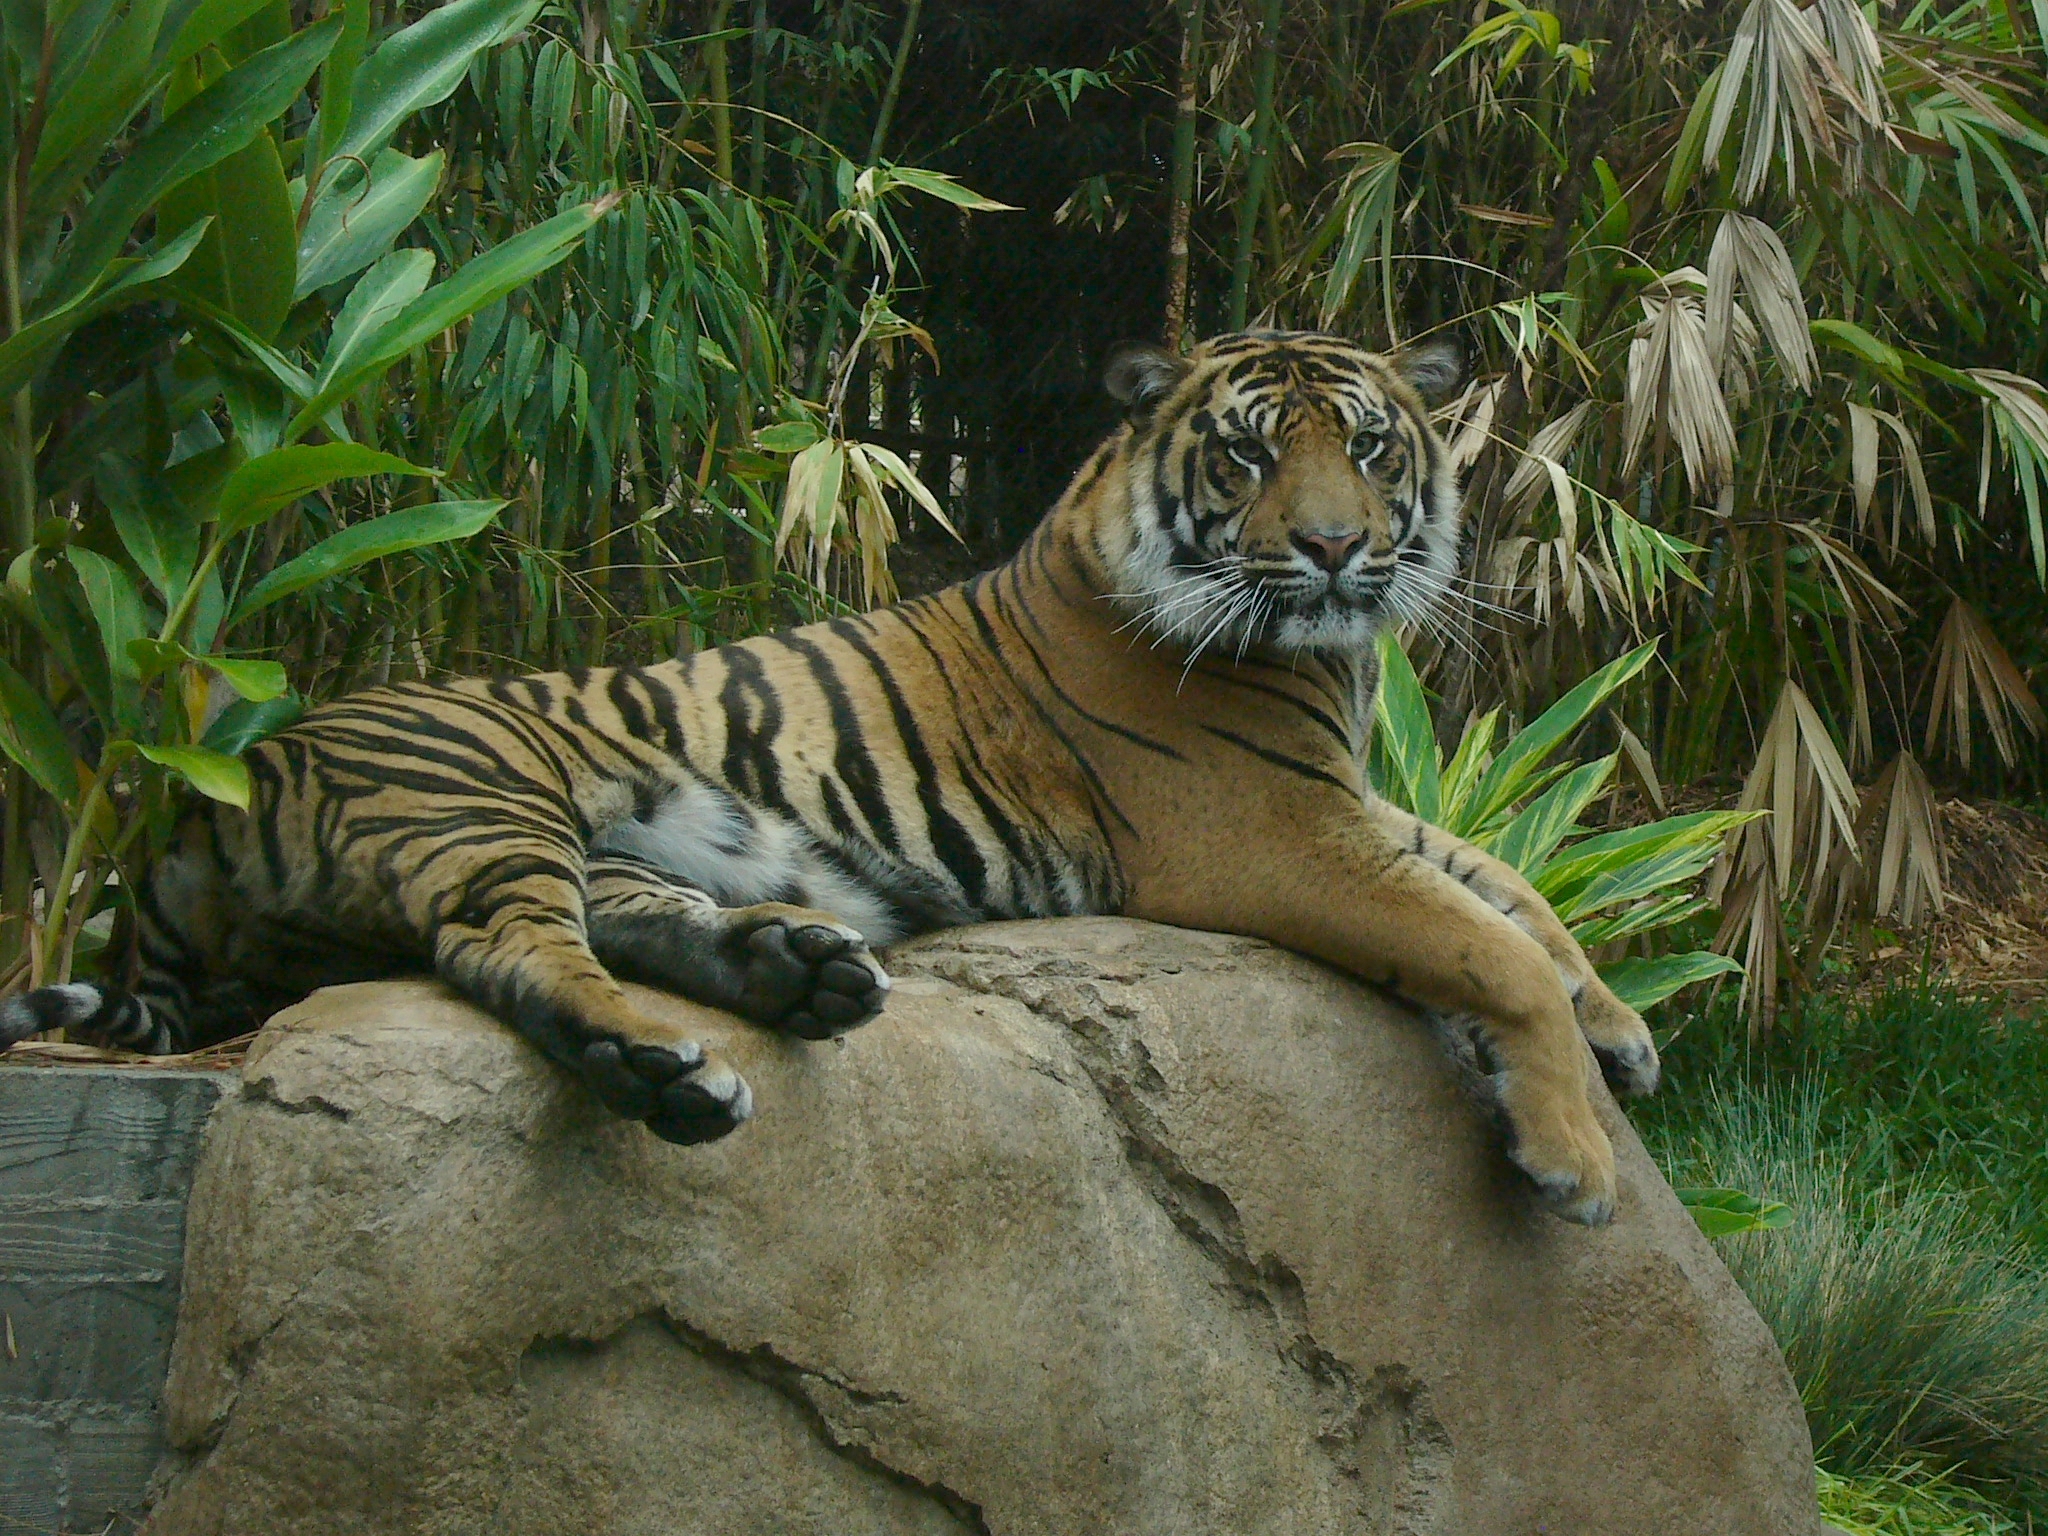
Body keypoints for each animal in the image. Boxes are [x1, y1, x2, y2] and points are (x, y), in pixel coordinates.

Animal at [1, 328, 1657, 1225]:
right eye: (1248, 458)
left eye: (1373, 449)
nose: (1332, 548)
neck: (1333, 660)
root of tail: (198, 791)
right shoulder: (1273, 828)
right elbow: (1483, 942)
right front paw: (1576, 1157)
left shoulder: (1349, 800)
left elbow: (1509, 886)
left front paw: (1621, 1034)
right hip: (484, 796)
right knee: (507, 950)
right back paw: (668, 1072)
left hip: (611, 837)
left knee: (620, 920)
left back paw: (797, 974)